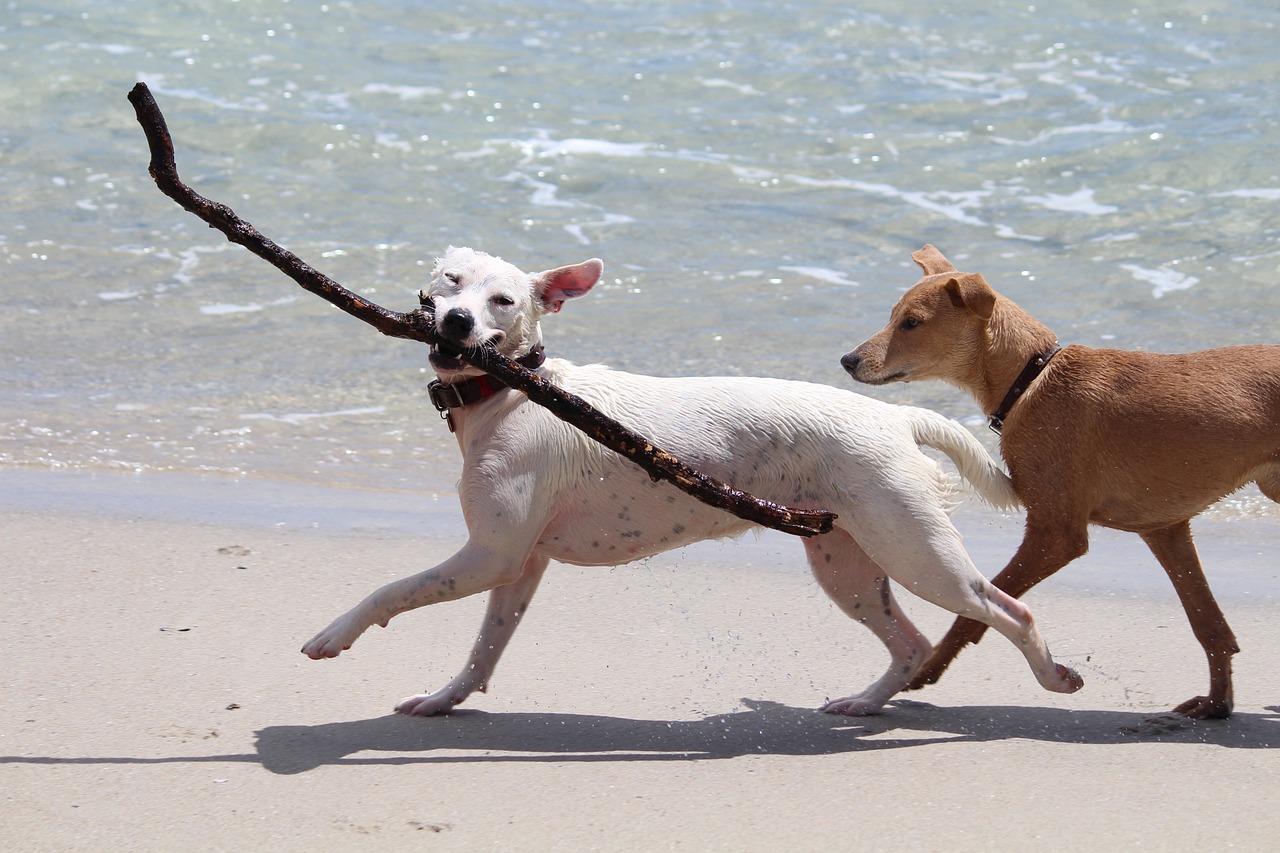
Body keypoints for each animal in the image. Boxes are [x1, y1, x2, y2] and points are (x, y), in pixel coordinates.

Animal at [302, 245, 1080, 712]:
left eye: (505, 302)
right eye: (452, 284)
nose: (458, 322)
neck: (513, 390)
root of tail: (893, 417)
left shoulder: (487, 555)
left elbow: (391, 590)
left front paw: (333, 634)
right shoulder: (518, 565)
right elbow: (484, 647)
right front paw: (445, 700)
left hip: (916, 552)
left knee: (1009, 611)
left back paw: (1052, 675)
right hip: (849, 564)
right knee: (912, 644)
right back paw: (864, 705)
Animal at [839, 242, 1280, 712]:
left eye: (912, 323)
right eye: (892, 315)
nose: (847, 360)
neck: (1031, 377)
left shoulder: (1056, 534)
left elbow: (980, 607)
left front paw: (926, 669)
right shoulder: (1166, 529)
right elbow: (1211, 627)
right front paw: (1217, 705)